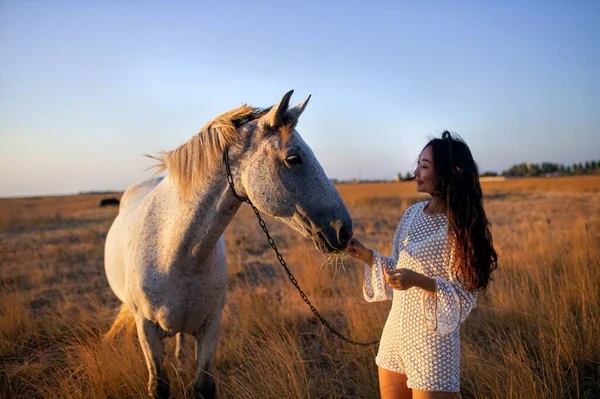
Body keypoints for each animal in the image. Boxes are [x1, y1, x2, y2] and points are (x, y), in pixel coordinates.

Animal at [102, 91, 352, 399]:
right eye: (294, 159)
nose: (344, 230)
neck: (176, 254)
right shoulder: (146, 331)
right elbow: (159, 386)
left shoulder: (210, 328)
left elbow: (204, 386)